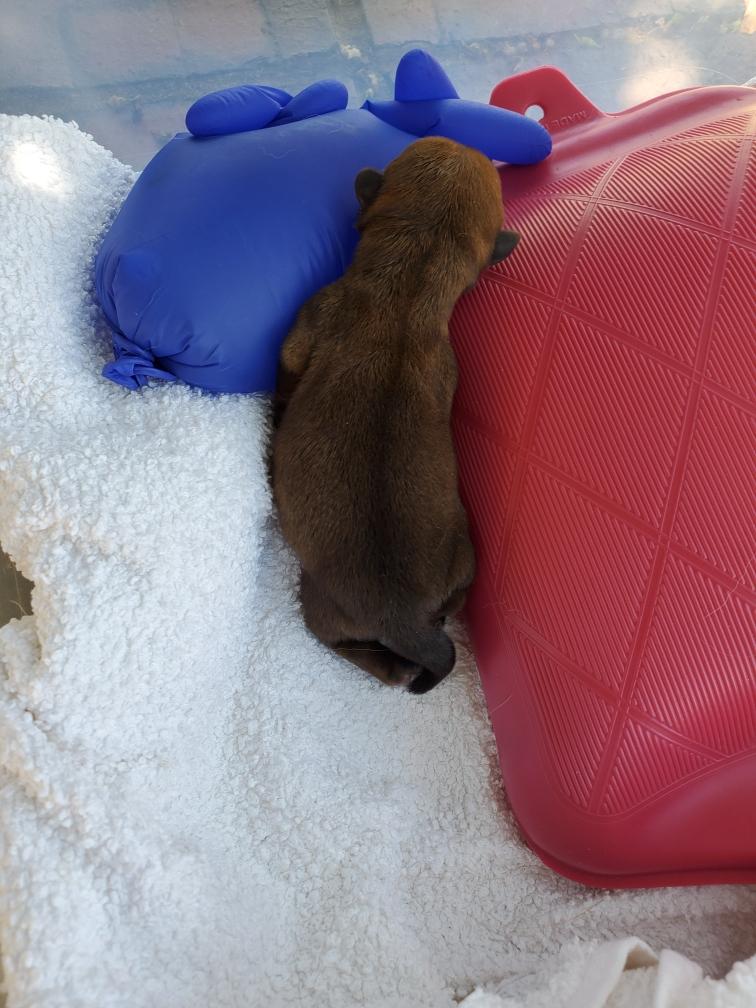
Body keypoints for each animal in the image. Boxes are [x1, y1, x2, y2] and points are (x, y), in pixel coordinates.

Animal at [271, 136, 519, 693]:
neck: (411, 282)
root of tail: (405, 619)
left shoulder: (309, 322)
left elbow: (286, 375)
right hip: (464, 560)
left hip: (320, 608)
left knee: (362, 656)